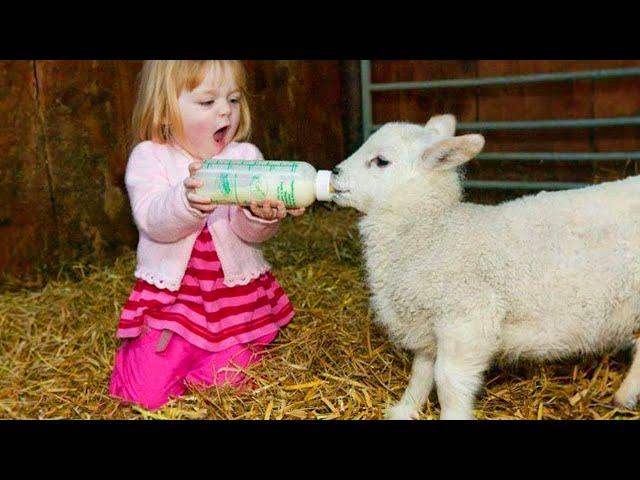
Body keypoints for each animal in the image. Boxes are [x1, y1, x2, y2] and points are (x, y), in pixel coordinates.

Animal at [332, 114, 640, 418]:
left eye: (381, 161)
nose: (334, 171)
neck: (432, 229)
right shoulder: (427, 324)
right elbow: (421, 373)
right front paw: (405, 409)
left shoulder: (467, 317)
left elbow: (447, 380)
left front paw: (452, 415)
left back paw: (625, 396)